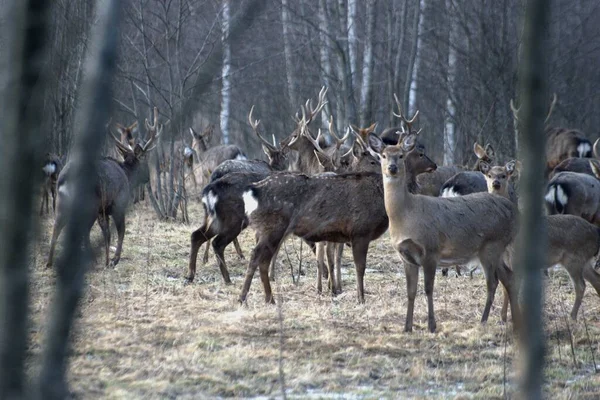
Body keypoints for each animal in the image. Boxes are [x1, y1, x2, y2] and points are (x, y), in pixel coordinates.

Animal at [46, 108, 162, 268]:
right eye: (144, 160)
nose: (147, 178)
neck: (127, 175)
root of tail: (66, 177)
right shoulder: (118, 204)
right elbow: (120, 231)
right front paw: (114, 260)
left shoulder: (103, 210)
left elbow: (106, 234)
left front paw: (107, 259)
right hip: (90, 204)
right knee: (83, 229)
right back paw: (90, 259)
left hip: (61, 202)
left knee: (56, 227)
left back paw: (50, 262)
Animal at [382, 127, 516, 332]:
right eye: (382, 155)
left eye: (401, 155)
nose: (392, 168)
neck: (406, 215)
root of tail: (511, 209)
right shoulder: (406, 257)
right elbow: (410, 292)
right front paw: (407, 328)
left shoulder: (431, 250)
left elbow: (428, 289)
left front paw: (431, 325)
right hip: (495, 250)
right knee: (508, 277)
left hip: (491, 246)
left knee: (493, 282)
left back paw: (484, 320)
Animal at [480, 159, 600, 322]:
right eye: (489, 175)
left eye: (504, 175)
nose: (496, 183)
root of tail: (595, 232)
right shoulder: (505, 258)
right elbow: (505, 287)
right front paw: (503, 317)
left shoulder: (518, 257)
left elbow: (514, 286)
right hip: (584, 260)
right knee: (596, 280)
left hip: (574, 258)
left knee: (581, 286)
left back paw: (572, 317)